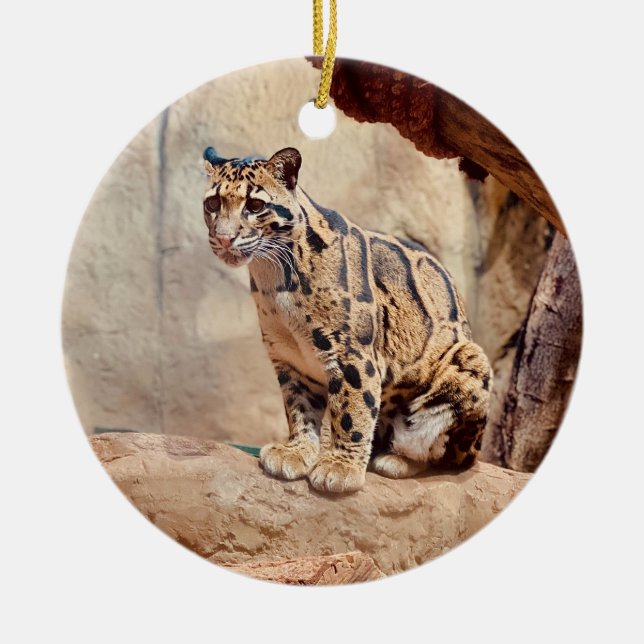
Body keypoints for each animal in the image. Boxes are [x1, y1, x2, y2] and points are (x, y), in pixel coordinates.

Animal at [202, 146, 492, 494]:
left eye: (255, 206)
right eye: (212, 203)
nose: (224, 238)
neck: (273, 276)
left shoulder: (351, 353)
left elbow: (352, 410)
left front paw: (340, 467)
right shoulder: (290, 359)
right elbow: (299, 408)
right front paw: (297, 451)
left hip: (469, 361)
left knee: (445, 454)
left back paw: (395, 459)